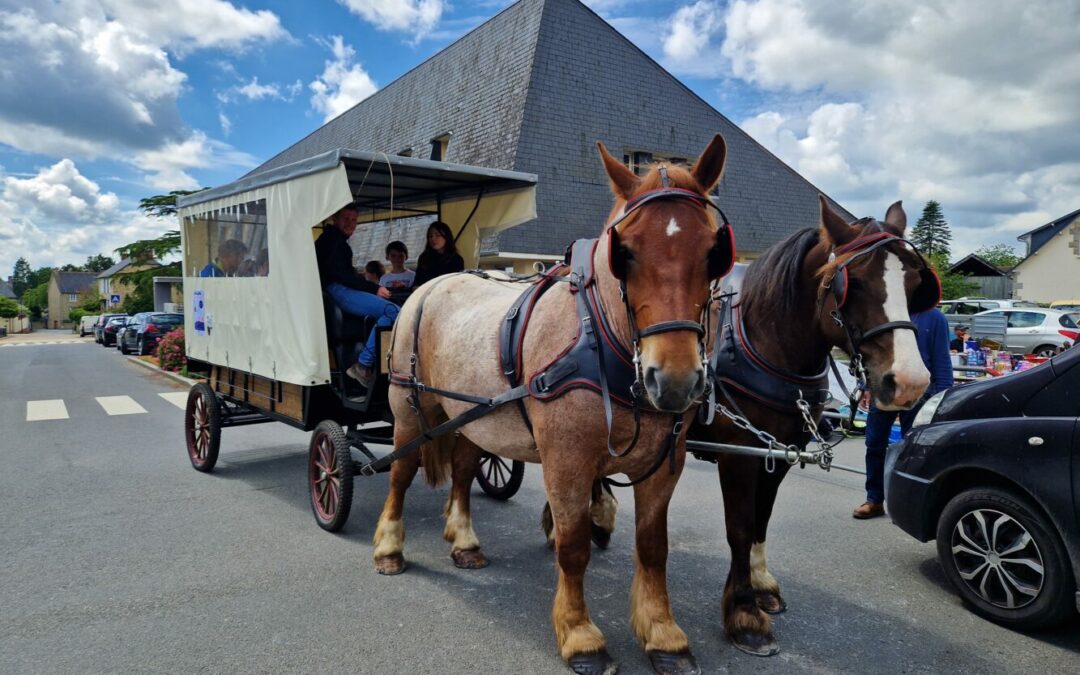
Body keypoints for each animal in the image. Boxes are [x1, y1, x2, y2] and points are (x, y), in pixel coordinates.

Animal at [371, 134, 734, 669]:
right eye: (624, 252)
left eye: (714, 252)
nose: (673, 380)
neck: (602, 337)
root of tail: (430, 285)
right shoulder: (566, 460)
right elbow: (573, 546)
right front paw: (580, 635)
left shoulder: (666, 463)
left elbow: (652, 547)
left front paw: (663, 634)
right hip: (410, 409)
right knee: (401, 470)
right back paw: (389, 549)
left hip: (474, 416)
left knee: (463, 470)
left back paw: (464, 540)